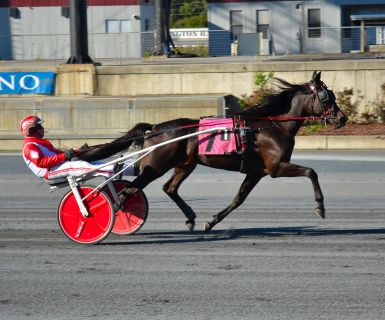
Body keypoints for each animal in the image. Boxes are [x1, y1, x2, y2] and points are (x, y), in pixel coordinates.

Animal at [78, 71, 348, 232]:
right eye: (326, 97)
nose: (342, 118)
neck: (272, 125)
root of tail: (153, 129)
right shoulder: (276, 167)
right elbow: (311, 172)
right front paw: (320, 207)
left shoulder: (256, 172)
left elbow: (238, 199)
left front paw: (211, 222)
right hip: (156, 166)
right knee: (129, 191)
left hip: (185, 164)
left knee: (169, 188)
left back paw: (190, 218)